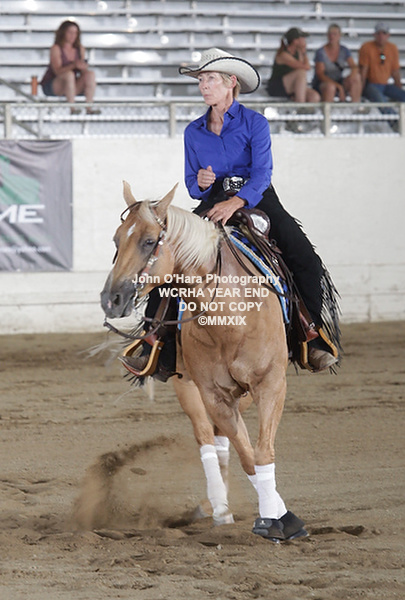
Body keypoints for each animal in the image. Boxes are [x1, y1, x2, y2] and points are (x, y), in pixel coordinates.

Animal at [100, 182, 307, 541]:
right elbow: (246, 455)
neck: (230, 315)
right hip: (189, 386)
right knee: (208, 438)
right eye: (116, 239)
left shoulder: (270, 383)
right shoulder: (212, 393)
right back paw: (219, 508)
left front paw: (278, 518)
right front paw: (273, 515)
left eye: (149, 241)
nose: (111, 298)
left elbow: (261, 451)